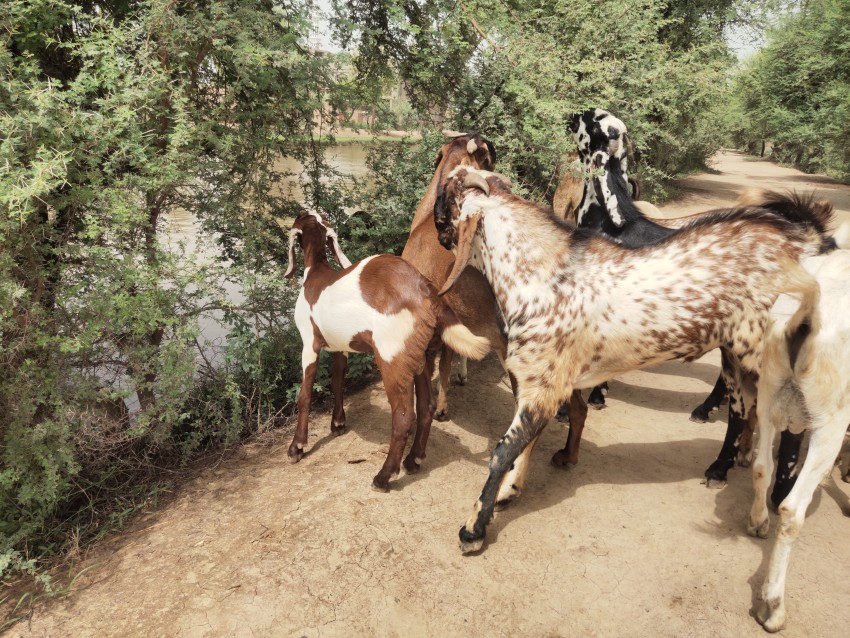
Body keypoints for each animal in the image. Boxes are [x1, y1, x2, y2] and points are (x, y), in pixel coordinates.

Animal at [284, 210, 489, 491]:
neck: (316, 273)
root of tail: (426, 293)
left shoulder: (309, 343)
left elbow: (304, 395)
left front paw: (297, 447)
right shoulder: (340, 346)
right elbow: (338, 382)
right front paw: (338, 423)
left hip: (392, 357)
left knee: (404, 416)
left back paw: (384, 476)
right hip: (419, 355)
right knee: (425, 407)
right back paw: (413, 460)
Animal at [434, 167, 832, 553]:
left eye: (443, 207)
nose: (437, 236)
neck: (544, 275)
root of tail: (810, 242)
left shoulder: (543, 385)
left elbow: (504, 451)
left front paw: (474, 529)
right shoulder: (539, 383)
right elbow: (524, 444)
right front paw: (510, 491)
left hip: (769, 358)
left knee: (793, 423)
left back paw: (777, 493)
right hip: (735, 353)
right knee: (741, 410)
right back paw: (724, 466)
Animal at [746, 249, 850, 632]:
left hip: (768, 392)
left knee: (762, 466)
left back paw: (758, 522)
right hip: (830, 420)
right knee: (792, 510)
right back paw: (773, 605)